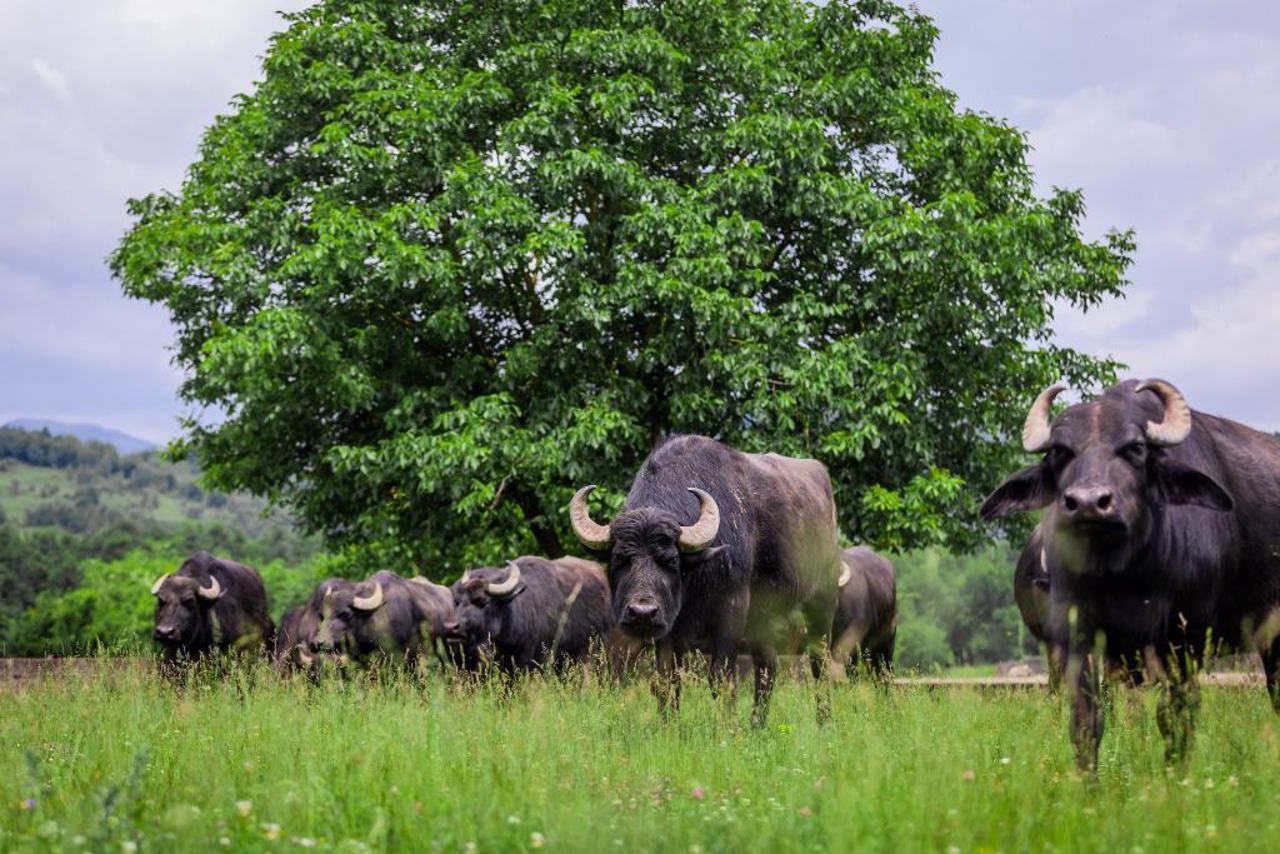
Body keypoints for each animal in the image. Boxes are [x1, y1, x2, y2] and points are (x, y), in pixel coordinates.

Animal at [570, 437, 839, 727]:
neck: (694, 584)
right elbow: (666, 682)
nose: (642, 612)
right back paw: (758, 725)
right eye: (620, 558)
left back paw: (823, 721)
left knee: (820, 665)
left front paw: (729, 729)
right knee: (767, 667)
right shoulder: (667, 633)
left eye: (671, 560)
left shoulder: (731, 614)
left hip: (821, 610)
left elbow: (721, 680)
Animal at [977, 381, 1280, 768]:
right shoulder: (1078, 638)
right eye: (1060, 451)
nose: (1088, 503)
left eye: (1135, 448)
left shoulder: (1186, 641)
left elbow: (1175, 717)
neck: (1123, 575)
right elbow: (1086, 720)